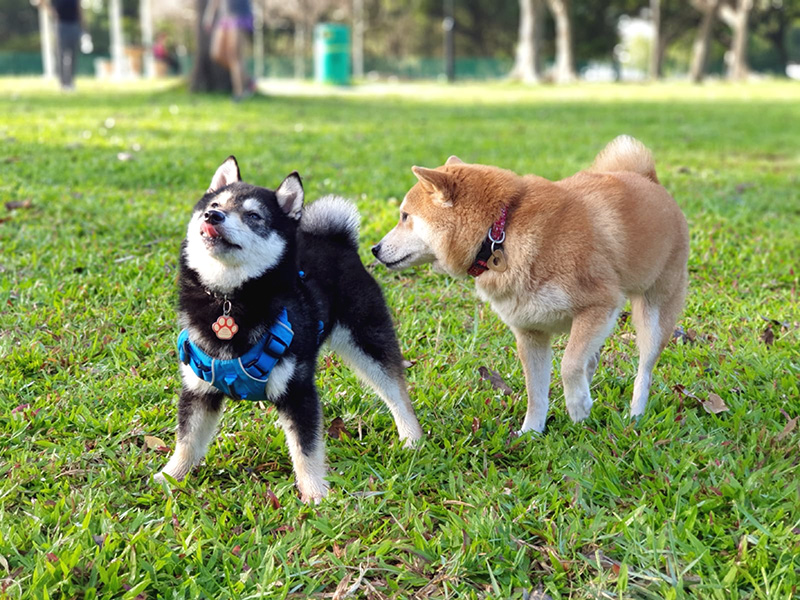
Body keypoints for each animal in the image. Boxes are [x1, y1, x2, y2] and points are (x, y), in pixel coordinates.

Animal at [374, 137, 688, 432]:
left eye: (404, 216)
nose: (375, 249)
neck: (500, 231)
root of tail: (649, 180)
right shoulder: (530, 333)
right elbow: (536, 392)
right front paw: (531, 432)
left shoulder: (599, 303)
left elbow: (568, 365)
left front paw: (577, 405)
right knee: (592, 359)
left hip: (653, 316)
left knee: (643, 371)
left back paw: (635, 416)